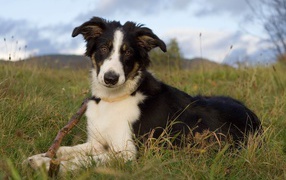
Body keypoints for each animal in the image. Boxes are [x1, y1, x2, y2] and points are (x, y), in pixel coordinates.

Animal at [26, 17, 262, 173]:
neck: (113, 99)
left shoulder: (131, 153)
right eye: (103, 48)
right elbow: (66, 149)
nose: (110, 78)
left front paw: (49, 166)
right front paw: (40, 157)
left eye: (128, 52)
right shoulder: (96, 142)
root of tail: (254, 119)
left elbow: (84, 161)